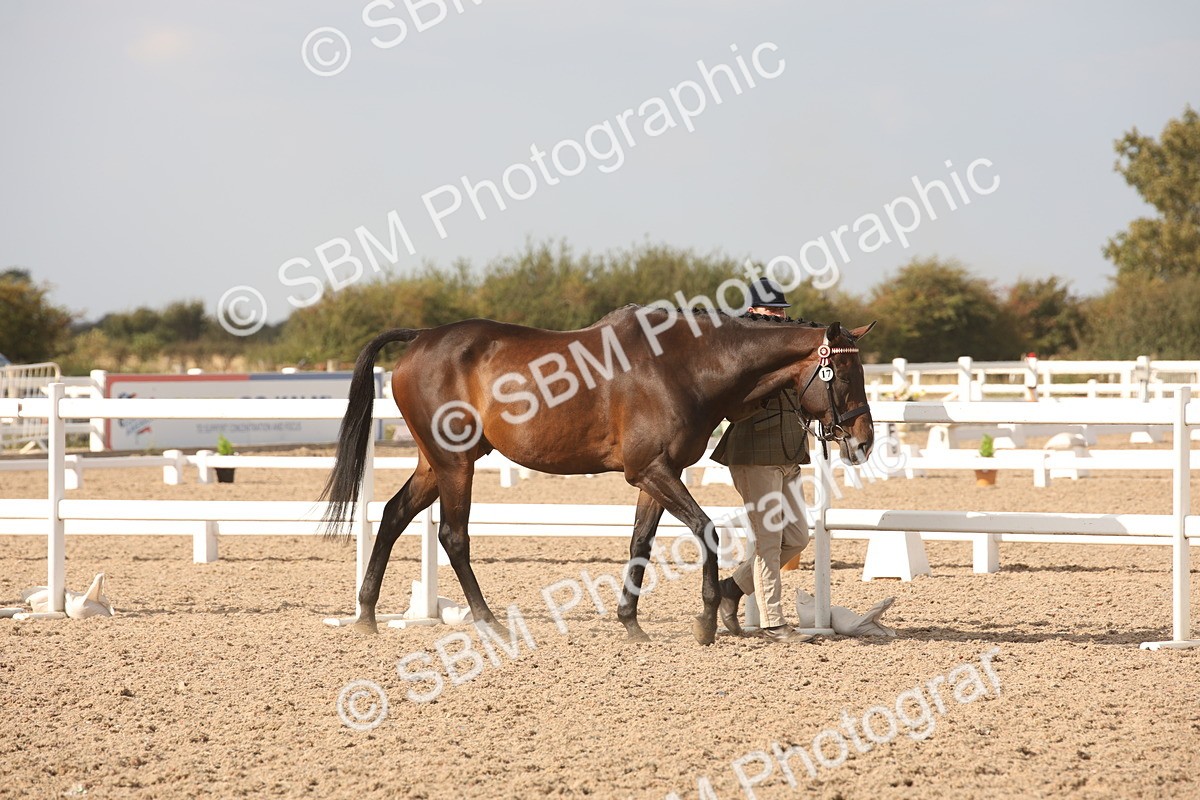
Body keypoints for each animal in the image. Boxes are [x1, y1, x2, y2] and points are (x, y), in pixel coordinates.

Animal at [321, 304, 875, 644]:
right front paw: (704, 620)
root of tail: (421, 338)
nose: (863, 441)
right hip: (455, 464)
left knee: (393, 515)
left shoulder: (657, 475)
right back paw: (488, 622)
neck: (684, 364)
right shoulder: (652, 470)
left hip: (436, 463)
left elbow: (640, 543)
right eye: (845, 375)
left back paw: (367, 614)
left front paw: (631, 623)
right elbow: (706, 530)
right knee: (453, 536)